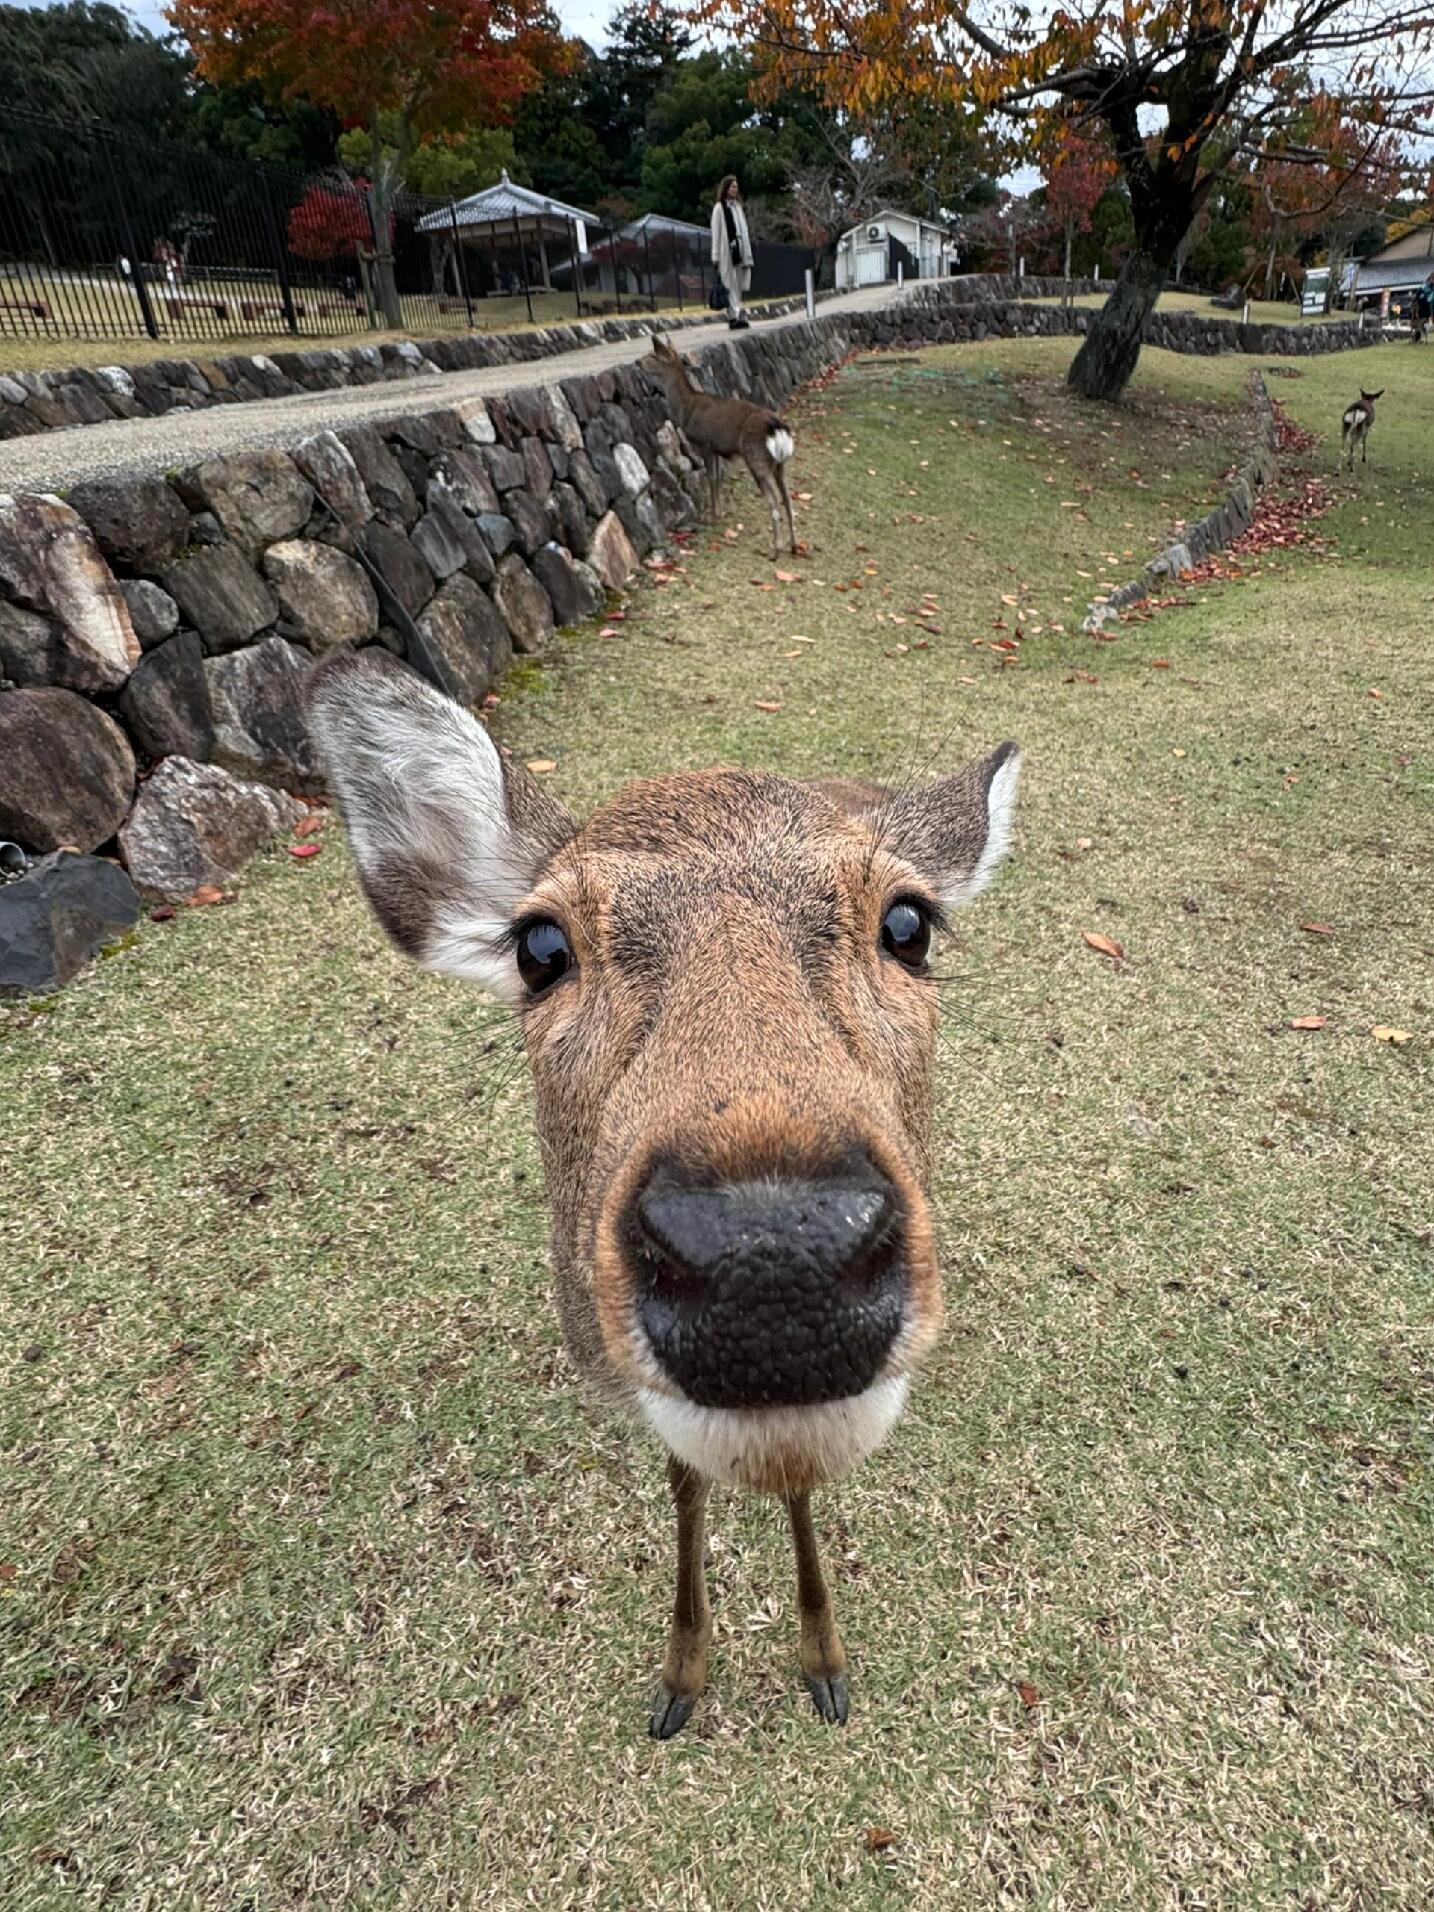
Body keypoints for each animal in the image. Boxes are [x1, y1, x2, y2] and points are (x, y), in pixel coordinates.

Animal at [311, 650, 1024, 1743]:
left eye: (909, 923)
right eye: (541, 947)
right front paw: (683, 1675)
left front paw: (824, 1664)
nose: (773, 1264)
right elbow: (686, 1486)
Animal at [646, 332, 803, 558]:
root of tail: (777, 427)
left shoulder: (704, 442)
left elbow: (711, 478)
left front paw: (714, 516)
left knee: (773, 500)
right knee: (788, 498)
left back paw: (776, 548)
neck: (686, 409)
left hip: (756, 457)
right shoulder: (717, 448)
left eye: (652, 357)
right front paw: (720, 513)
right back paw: (794, 545)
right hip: (780, 463)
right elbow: (718, 479)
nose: (640, 364)